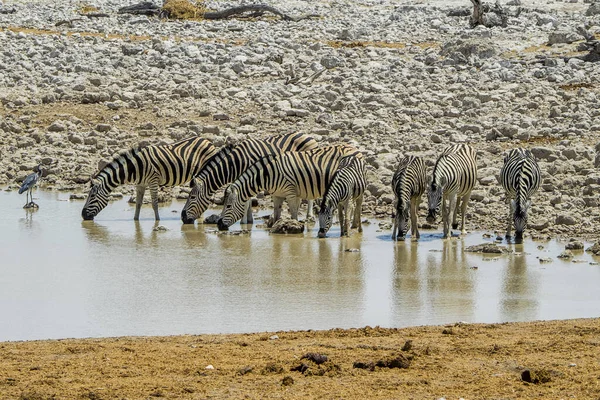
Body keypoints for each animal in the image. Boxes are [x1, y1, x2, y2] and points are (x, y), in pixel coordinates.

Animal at [82, 136, 216, 220]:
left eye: (92, 196)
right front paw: (135, 220)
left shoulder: (153, 181)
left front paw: (157, 220)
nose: (83, 215)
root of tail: (206, 140)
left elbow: (155, 204)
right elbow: (138, 203)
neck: (135, 167)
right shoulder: (140, 184)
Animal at [180, 132, 318, 223]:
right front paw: (249, 220)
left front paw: (244, 222)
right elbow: (247, 200)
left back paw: (309, 215)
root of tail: (307, 135)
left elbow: (245, 201)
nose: (183, 217)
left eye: (192, 197)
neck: (235, 164)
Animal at [218, 144, 364, 231]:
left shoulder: (291, 193)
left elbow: (294, 214)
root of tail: (355, 148)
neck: (269, 174)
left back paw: (353, 226)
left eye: (228, 206)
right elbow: (277, 215)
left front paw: (295, 228)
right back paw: (354, 225)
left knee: (356, 204)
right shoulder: (277, 195)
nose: (219, 225)